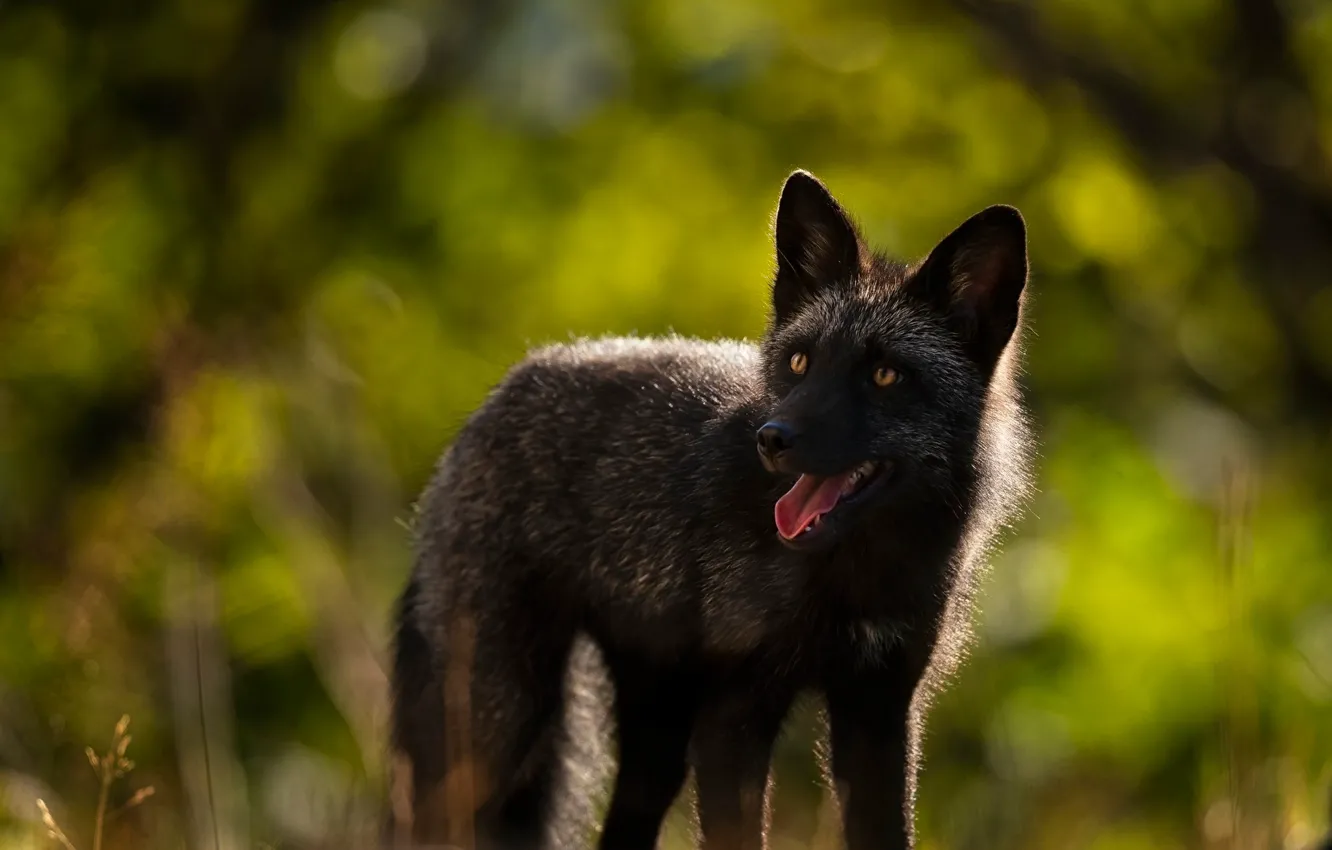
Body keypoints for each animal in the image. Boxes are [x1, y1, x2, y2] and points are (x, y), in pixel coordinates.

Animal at [391, 169, 1034, 850]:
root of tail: (499, 394)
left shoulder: (880, 714)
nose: (773, 438)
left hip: (654, 740)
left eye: (886, 375)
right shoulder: (735, 715)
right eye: (800, 362)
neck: (853, 576)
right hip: (500, 724)